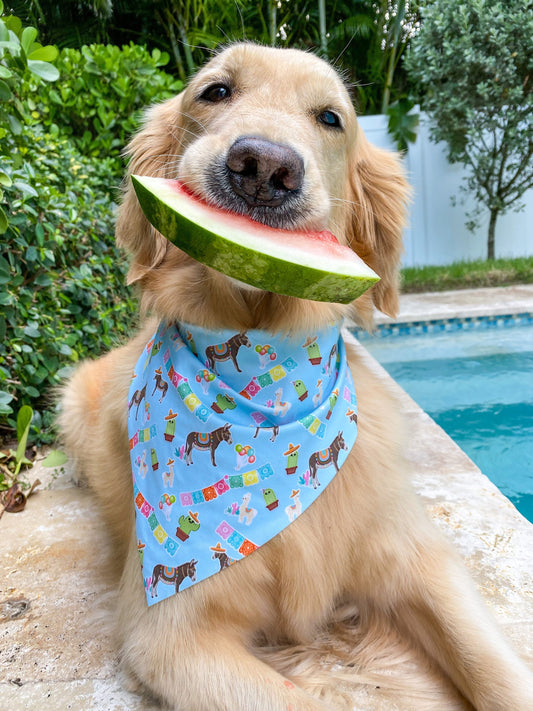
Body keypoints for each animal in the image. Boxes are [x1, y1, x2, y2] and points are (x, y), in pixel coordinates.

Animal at [60, 44, 532, 711]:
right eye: (215, 91)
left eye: (331, 118)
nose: (262, 167)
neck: (268, 381)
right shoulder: (171, 635)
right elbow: (294, 699)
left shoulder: (418, 564)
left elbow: (495, 668)